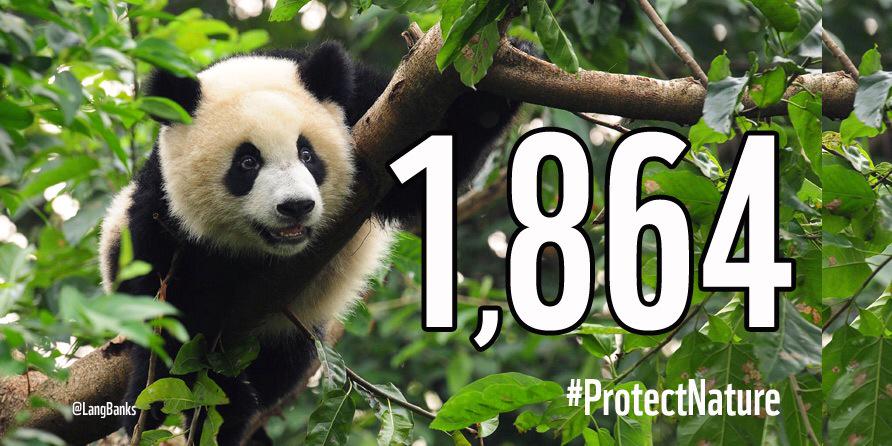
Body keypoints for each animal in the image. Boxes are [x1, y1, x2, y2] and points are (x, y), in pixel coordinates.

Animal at [98, 41, 524, 444]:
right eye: (247, 163)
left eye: (307, 154)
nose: (295, 206)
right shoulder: (164, 213)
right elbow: (172, 313)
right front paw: (196, 404)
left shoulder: (369, 108)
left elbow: (425, 167)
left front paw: (504, 71)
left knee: (283, 367)